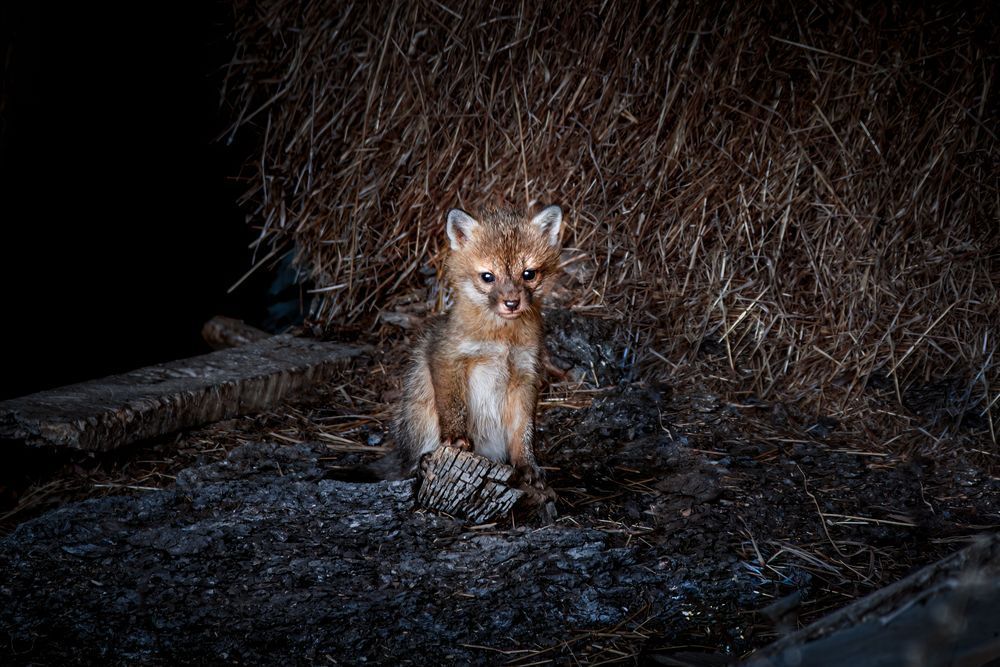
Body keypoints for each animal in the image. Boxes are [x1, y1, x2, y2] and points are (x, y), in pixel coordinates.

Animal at [392, 204, 563, 490]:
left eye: (528, 274)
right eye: (487, 277)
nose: (512, 303)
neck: (502, 339)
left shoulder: (526, 373)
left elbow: (524, 431)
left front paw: (527, 464)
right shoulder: (447, 357)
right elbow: (453, 406)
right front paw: (456, 438)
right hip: (419, 410)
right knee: (408, 463)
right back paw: (422, 463)